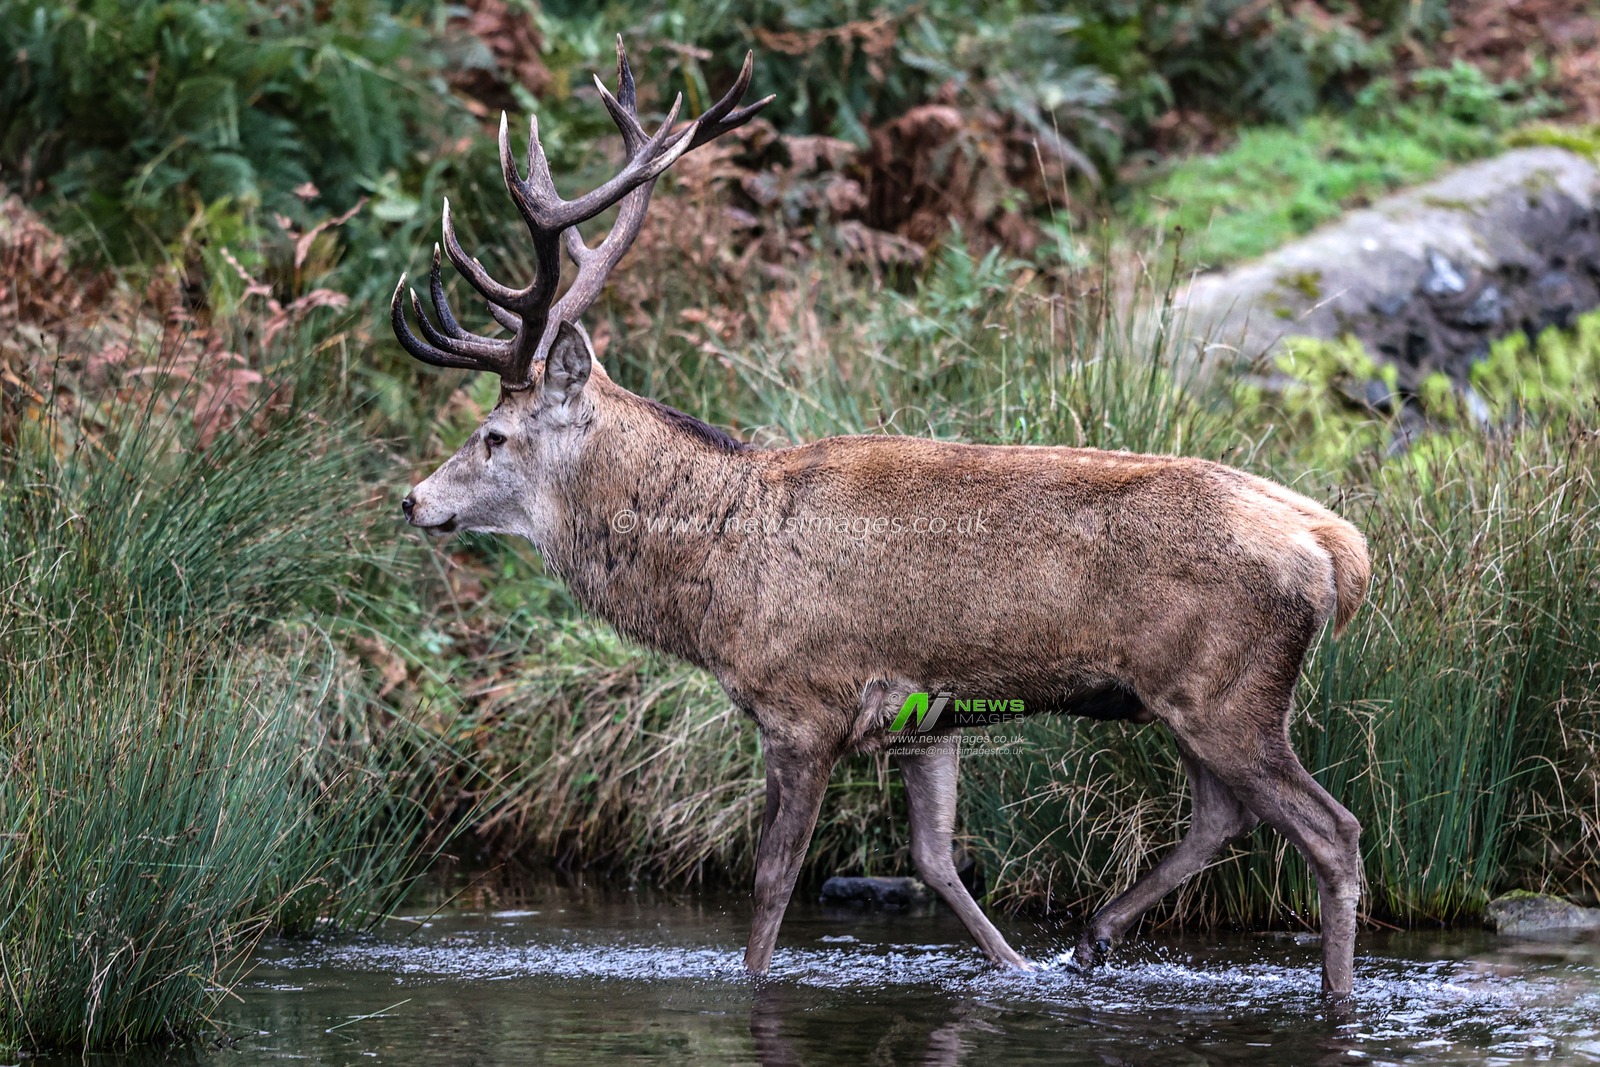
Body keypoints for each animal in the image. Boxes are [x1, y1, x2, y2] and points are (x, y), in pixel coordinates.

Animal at [393, 40, 1371, 996]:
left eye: (493, 435)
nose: (413, 498)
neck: (714, 581)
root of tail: (1339, 548)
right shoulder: (922, 723)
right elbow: (937, 862)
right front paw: (1017, 965)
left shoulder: (802, 702)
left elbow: (773, 880)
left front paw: (754, 982)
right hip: (1195, 697)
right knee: (1223, 814)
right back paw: (1091, 938)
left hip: (1226, 688)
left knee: (1333, 829)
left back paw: (1328, 991)